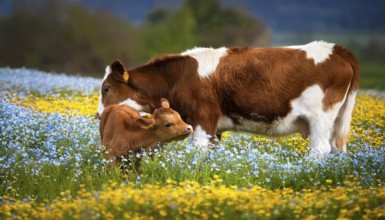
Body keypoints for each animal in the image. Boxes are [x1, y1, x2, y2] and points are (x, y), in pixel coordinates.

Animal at [97, 40, 356, 156]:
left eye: (107, 88)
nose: (99, 115)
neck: (179, 76)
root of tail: (337, 49)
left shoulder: (203, 118)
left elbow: (200, 150)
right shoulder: (215, 126)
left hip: (320, 117)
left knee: (320, 149)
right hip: (335, 121)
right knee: (337, 149)